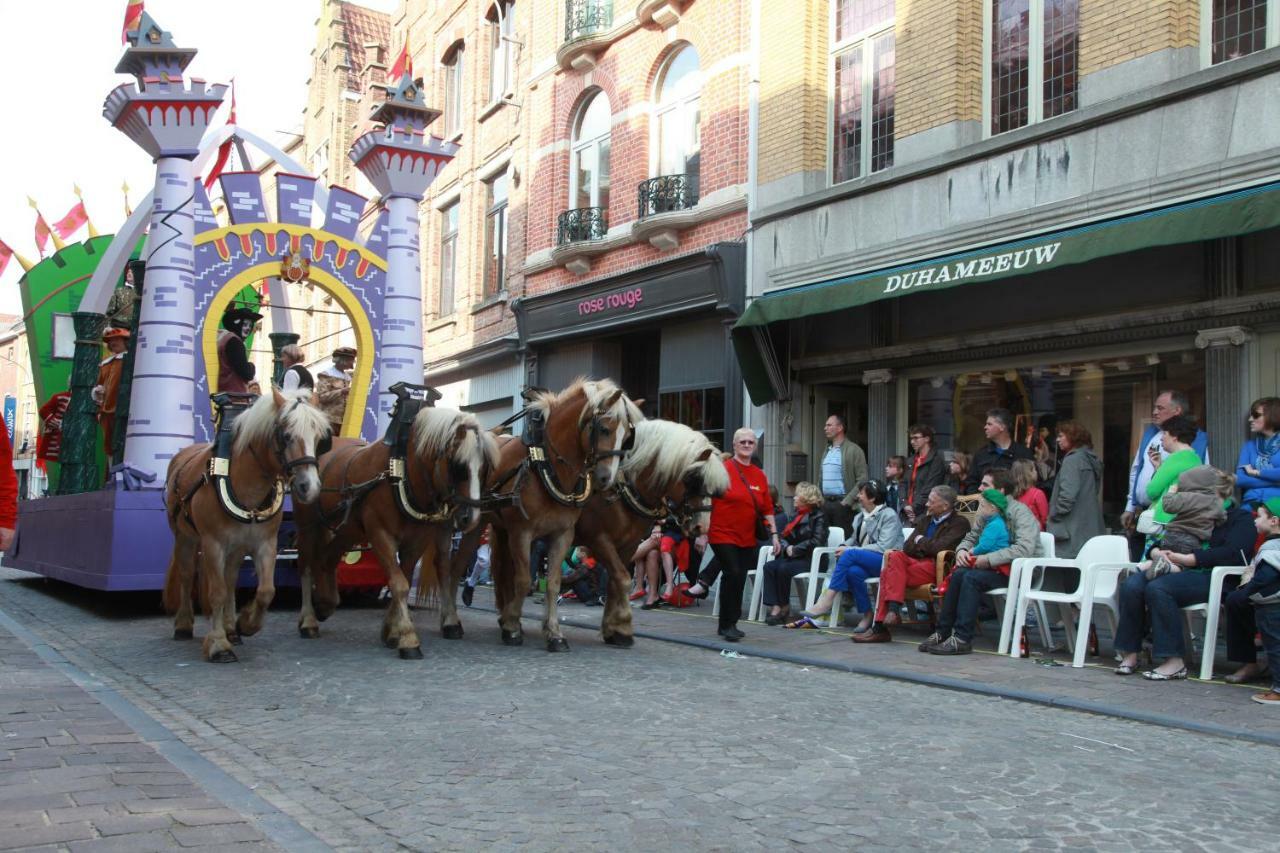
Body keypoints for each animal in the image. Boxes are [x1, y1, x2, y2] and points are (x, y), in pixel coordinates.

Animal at [162, 389, 330, 660]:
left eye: (318, 438)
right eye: (286, 436)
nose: (310, 487)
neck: (244, 485)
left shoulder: (265, 544)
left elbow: (266, 591)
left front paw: (246, 624)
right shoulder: (213, 545)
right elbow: (217, 592)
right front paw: (218, 643)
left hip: (237, 547)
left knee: (231, 579)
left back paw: (231, 628)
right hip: (185, 537)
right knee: (188, 576)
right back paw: (184, 624)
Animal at [294, 404, 499, 655]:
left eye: (485, 470)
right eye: (458, 466)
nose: (471, 517)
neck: (401, 472)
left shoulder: (416, 541)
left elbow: (404, 577)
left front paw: (392, 631)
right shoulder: (381, 534)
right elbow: (399, 583)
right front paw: (408, 639)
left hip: (348, 530)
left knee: (326, 558)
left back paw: (326, 602)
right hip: (308, 526)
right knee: (306, 566)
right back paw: (308, 621)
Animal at [440, 376, 640, 648]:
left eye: (628, 436)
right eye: (604, 429)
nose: (607, 479)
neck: (547, 466)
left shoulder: (562, 535)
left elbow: (553, 583)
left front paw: (553, 633)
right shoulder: (522, 533)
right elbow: (524, 580)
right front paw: (512, 628)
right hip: (473, 525)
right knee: (455, 568)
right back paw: (452, 621)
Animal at [581, 417, 732, 645]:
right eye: (694, 478)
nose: (702, 527)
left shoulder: (629, 544)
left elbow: (618, 580)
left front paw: (615, 629)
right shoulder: (599, 539)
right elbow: (621, 578)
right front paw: (621, 626)